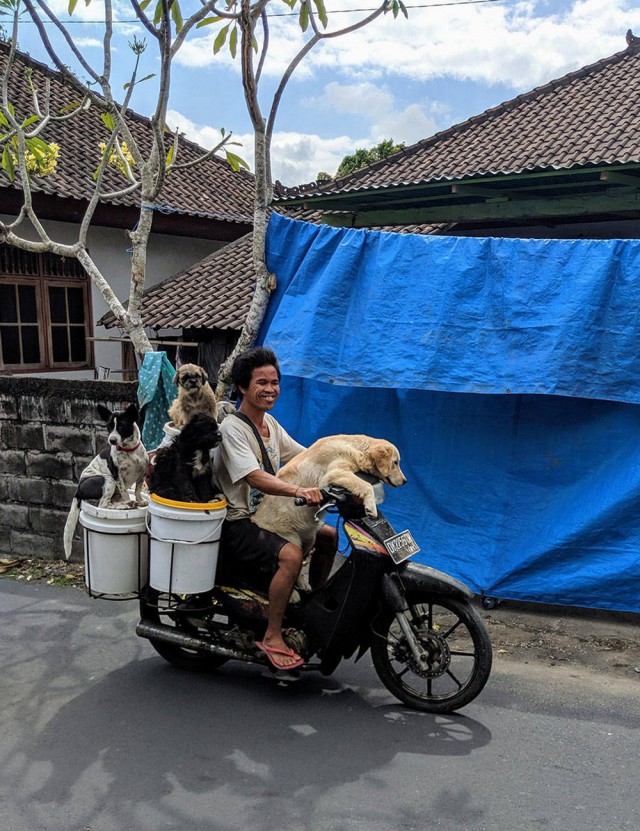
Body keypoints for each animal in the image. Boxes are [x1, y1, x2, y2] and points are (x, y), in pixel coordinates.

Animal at [63, 406, 149, 564]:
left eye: (121, 426)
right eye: (109, 427)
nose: (112, 440)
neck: (129, 451)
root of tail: (78, 490)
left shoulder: (142, 473)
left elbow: (138, 490)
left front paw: (140, 501)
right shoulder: (117, 476)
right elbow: (126, 493)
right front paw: (130, 502)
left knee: (108, 502)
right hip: (108, 480)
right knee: (103, 504)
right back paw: (126, 505)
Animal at [254, 432, 408, 556]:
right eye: (395, 462)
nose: (405, 481)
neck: (357, 450)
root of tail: (254, 519)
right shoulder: (334, 473)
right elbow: (367, 485)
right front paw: (370, 506)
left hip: (310, 537)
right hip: (291, 539)